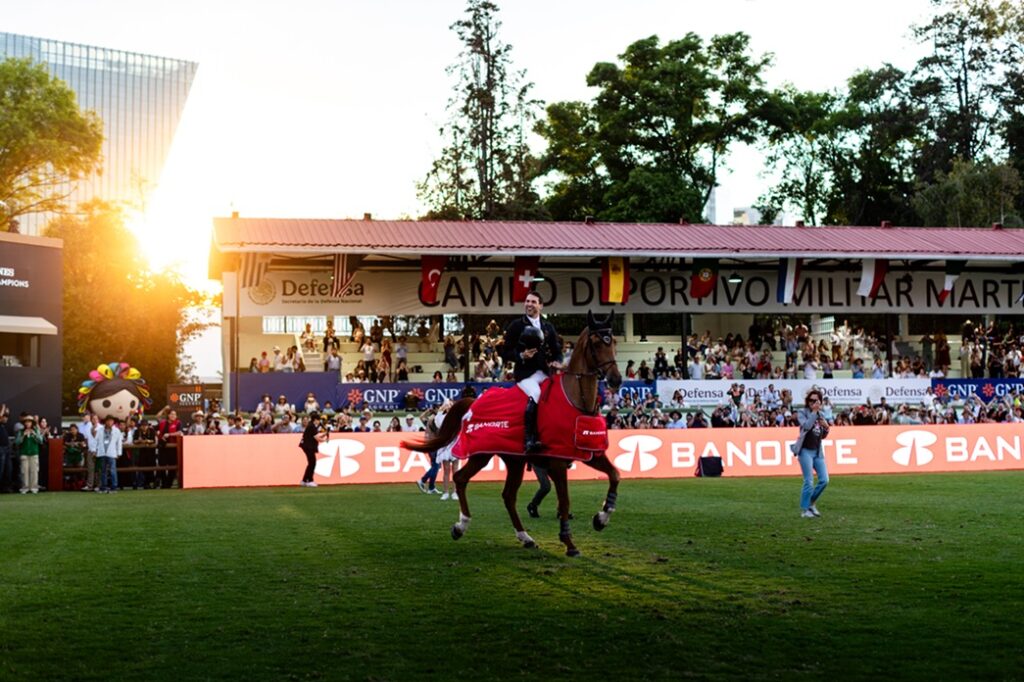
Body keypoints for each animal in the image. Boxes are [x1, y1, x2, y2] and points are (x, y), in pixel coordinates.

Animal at [403, 310, 622, 557]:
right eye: (596, 343)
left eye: (613, 342)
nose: (616, 380)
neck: (576, 399)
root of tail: (472, 401)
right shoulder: (557, 463)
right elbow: (565, 501)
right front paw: (569, 543)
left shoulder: (590, 453)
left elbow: (615, 476)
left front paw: (601, 518)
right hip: (482, 454)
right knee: (461, 478)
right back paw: (461, 526)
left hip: (515, 461)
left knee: (508, 495)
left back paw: (525, 537)